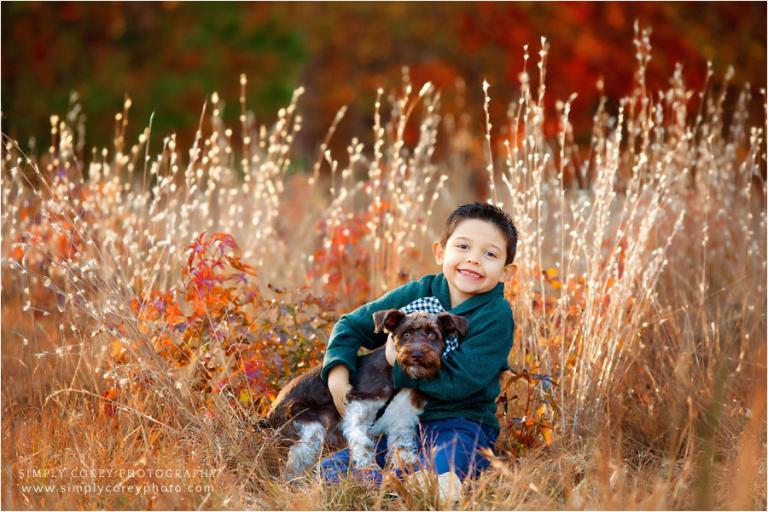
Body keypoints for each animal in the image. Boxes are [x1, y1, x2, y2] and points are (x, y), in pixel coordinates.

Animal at [264, 308, 468, 480]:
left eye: (433, 334)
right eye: (406, 334)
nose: (416, 355)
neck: (397, 379)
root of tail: (271, 411)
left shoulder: (402, 419)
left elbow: (401, 445)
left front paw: (405, 464)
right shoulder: (358, 408)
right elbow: (361, 441)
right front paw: (367, 466)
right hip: (311, 431)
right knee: (297, 456)